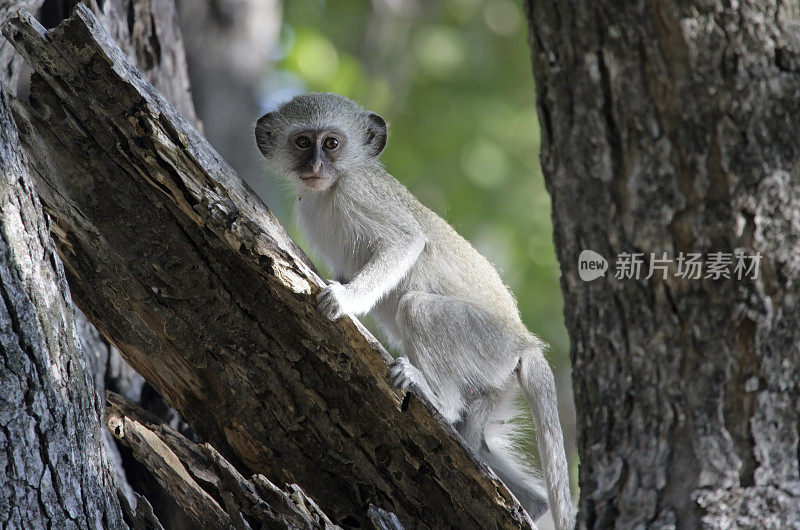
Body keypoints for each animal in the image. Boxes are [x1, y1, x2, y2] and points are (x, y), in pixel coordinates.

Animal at [256, 93, 576, 524]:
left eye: (331, 144)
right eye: (303, 142)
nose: (315, 167)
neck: (331, 188)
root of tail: (525, 344)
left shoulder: (360, 190)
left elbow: (406, 241)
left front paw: (345, 300)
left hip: (488, 341)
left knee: (418, 308)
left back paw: (437, 398)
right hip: (496, 383)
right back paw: (532, 500)